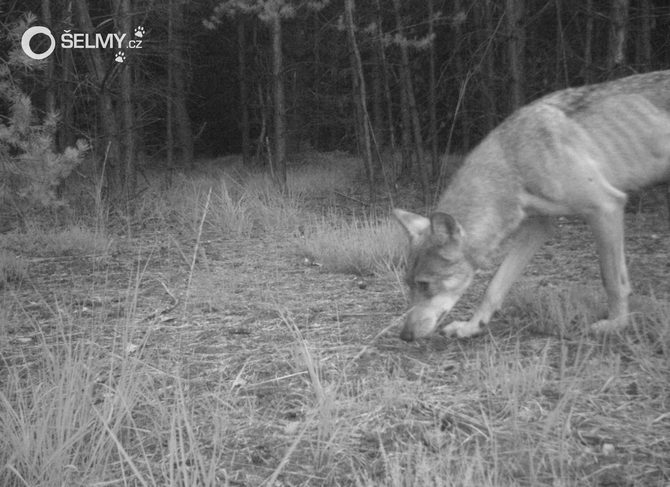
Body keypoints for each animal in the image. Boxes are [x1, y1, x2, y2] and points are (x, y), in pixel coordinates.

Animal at [396, 70, 670, 342]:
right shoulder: (538, 226)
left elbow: (613, 281)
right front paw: (472, 327)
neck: (514, 161)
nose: (405, 335)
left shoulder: (606, 207)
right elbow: (494, 286)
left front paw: (616, 325)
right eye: (408, 283)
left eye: (424, 284)